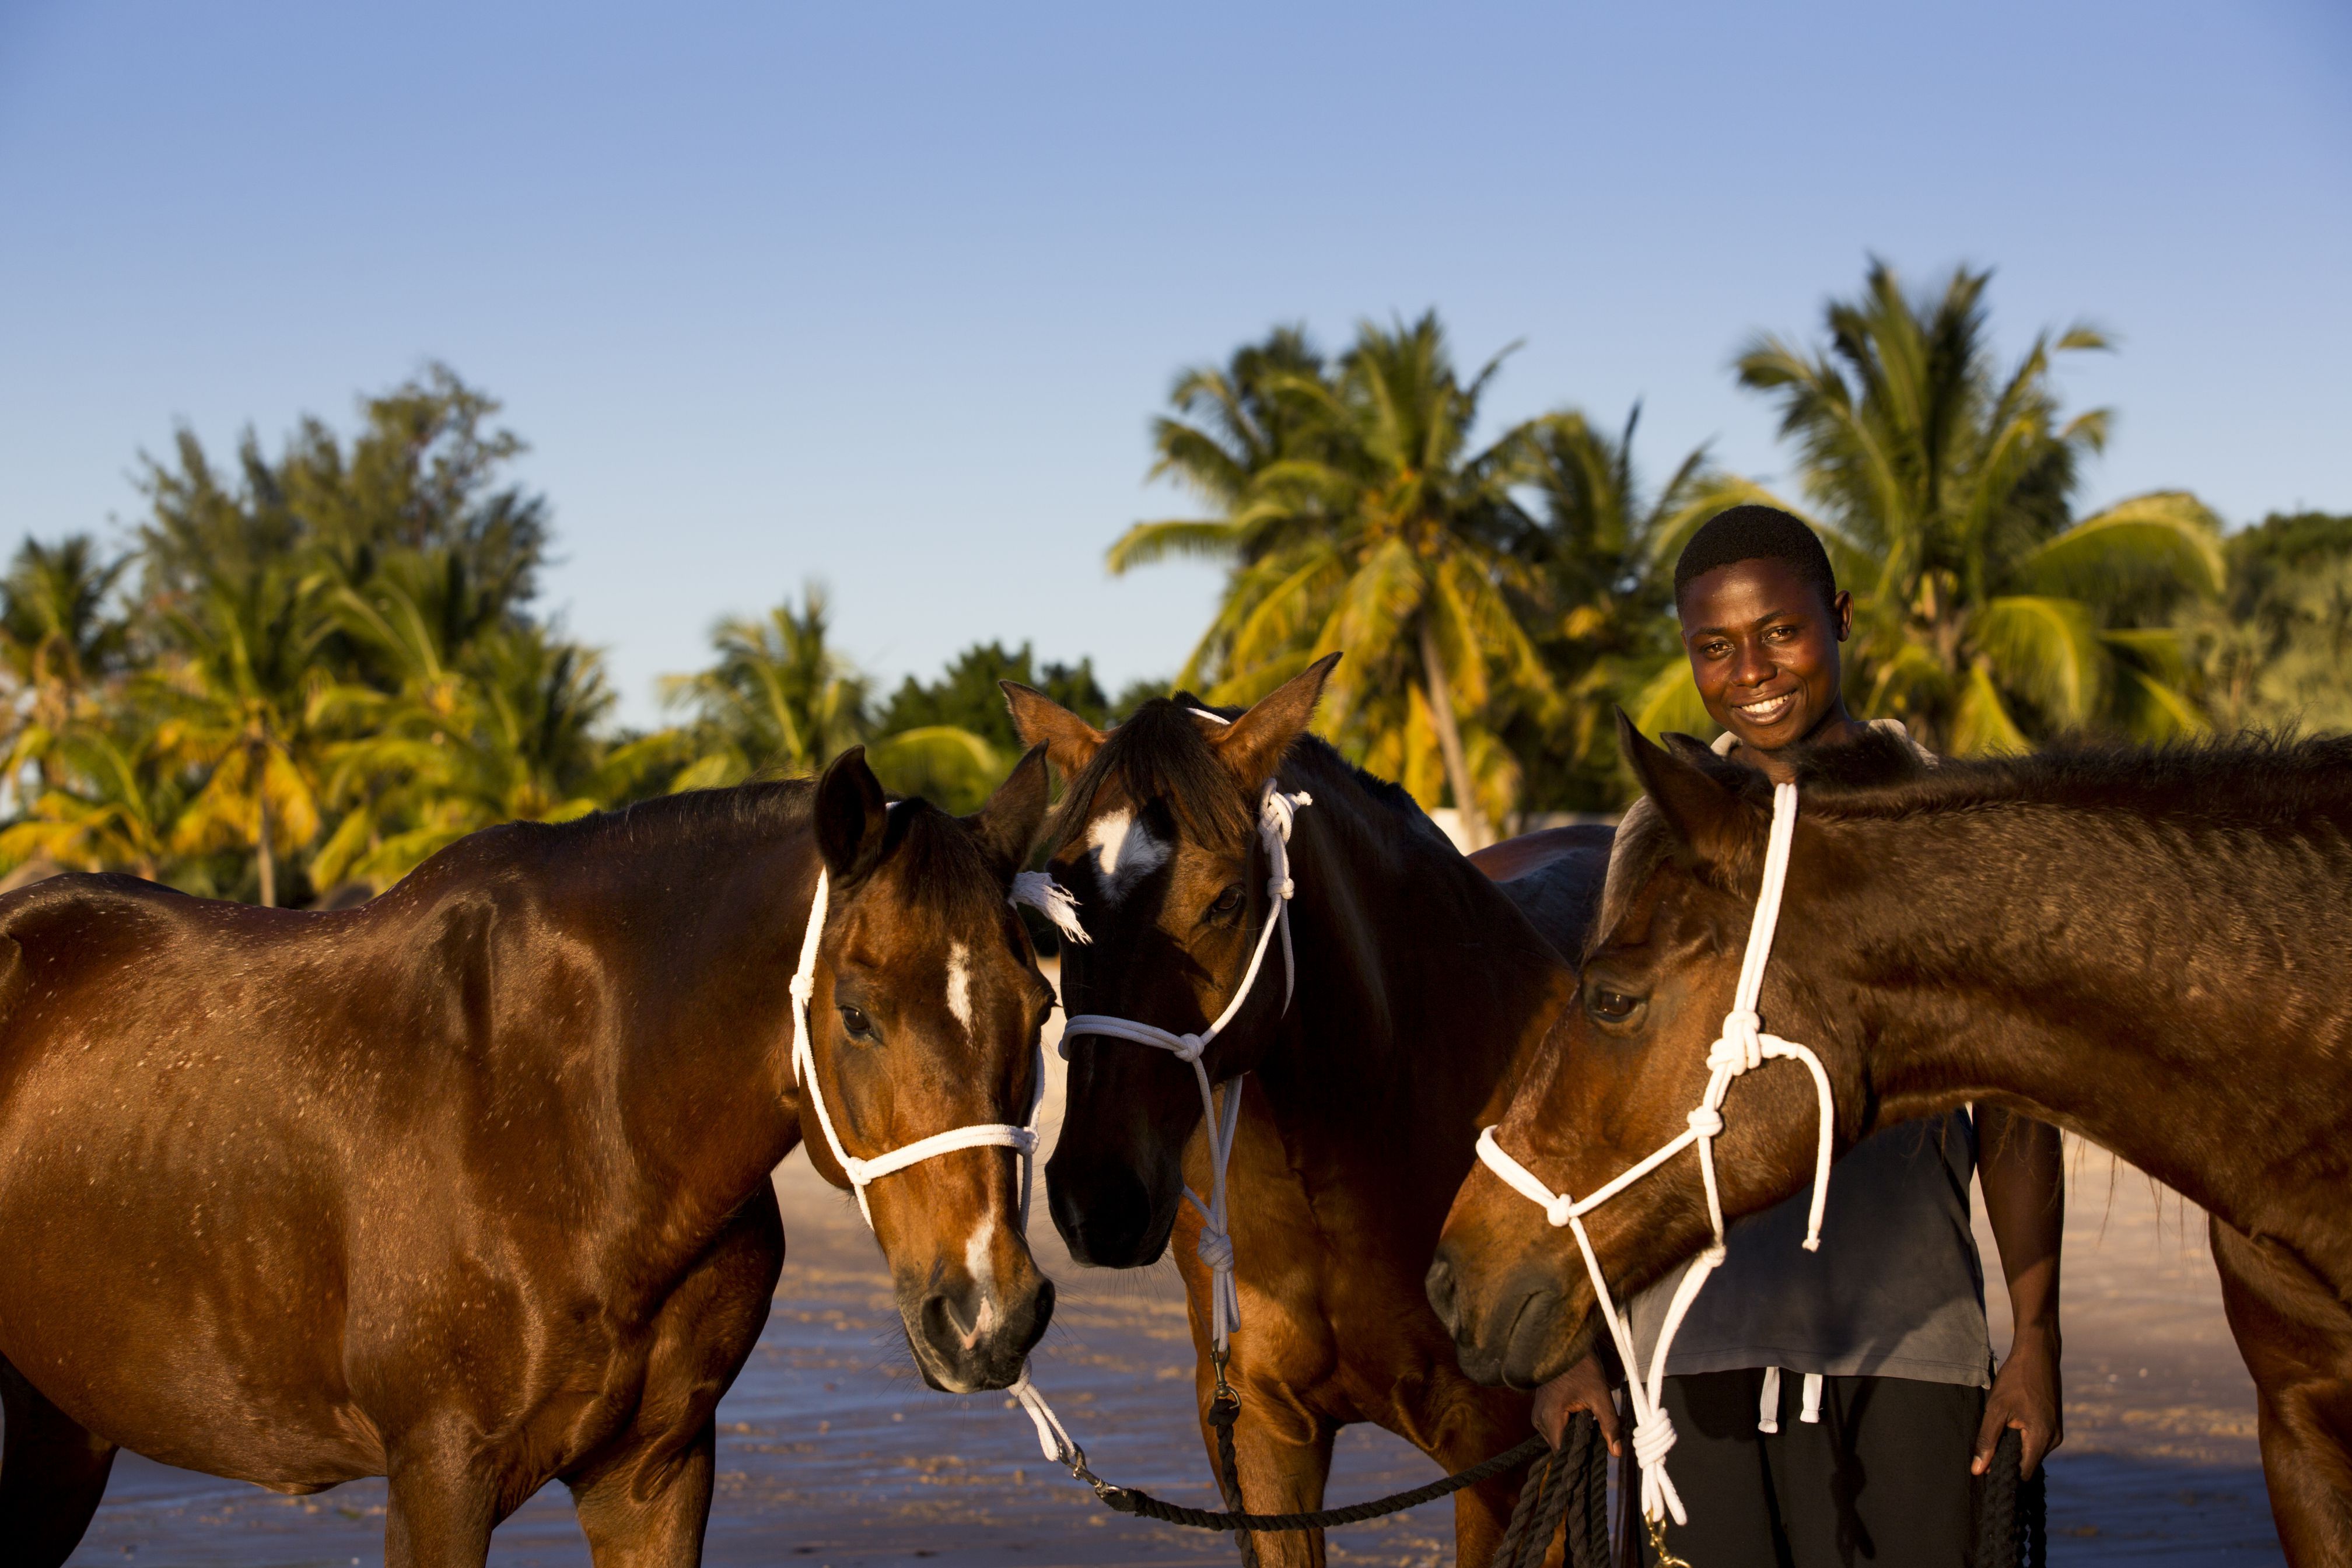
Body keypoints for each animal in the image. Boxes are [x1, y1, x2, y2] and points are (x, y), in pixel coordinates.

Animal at [0, 747, 1058, 1568]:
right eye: (856, 1011)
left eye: (1040, 1005)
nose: (989, 1312)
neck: (584, 1125)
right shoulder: (438, 1477)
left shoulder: (657, 1475)